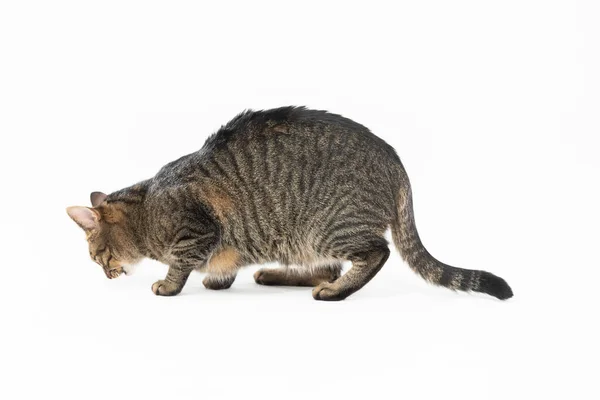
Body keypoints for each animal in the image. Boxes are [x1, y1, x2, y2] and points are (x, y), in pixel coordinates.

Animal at [67, 106, 516, 300]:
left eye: (95, 256)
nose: (107, 275)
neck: (146, 208)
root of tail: (395, 161)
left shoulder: (199, 228)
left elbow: (182, 263)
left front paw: (170, 284)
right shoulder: (224, 241)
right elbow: (222, 266)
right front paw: (218, 278)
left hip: (329, 225)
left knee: (376, 253)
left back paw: (334, 291)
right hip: (306, 239)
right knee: (328, 265)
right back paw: (280, 276)